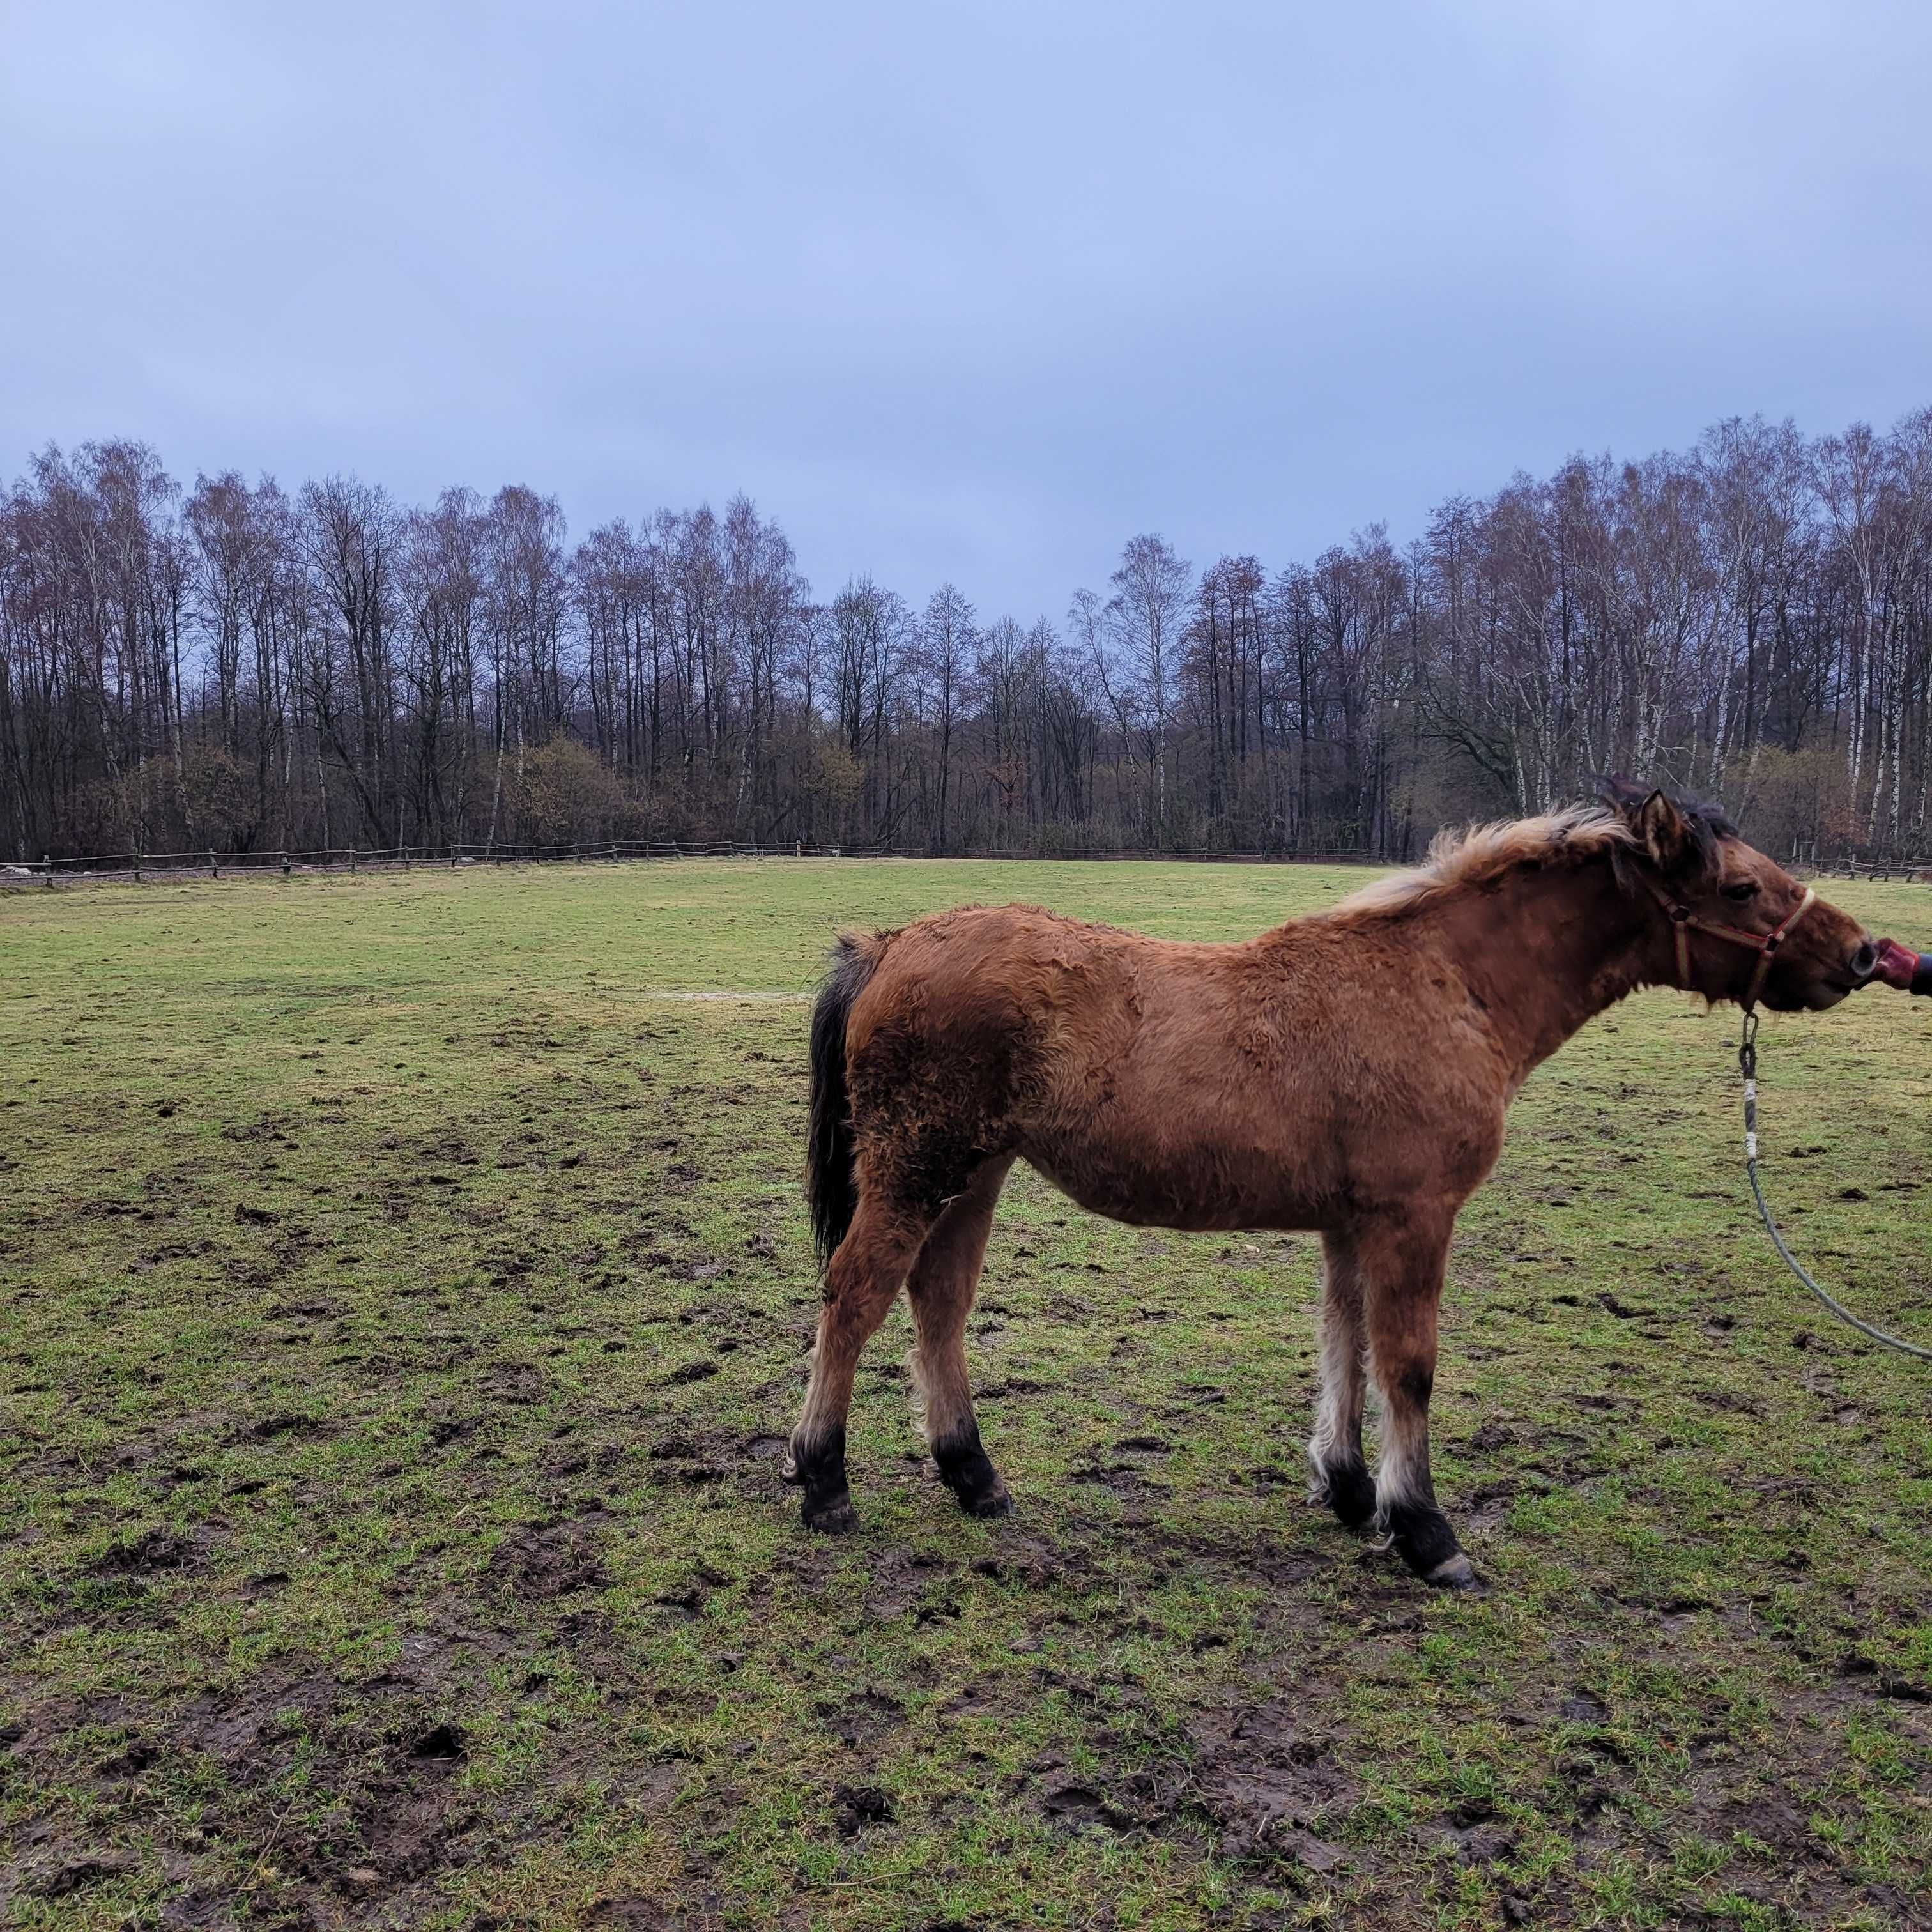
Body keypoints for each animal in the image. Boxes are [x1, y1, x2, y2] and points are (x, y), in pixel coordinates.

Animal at [780, 784, 1870, 1584]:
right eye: (1741, 888)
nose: (1862, 953)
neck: (1445, 984)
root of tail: (887, 945)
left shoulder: (1353, 1224)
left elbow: (1345, 1341)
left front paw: (1348, 1491)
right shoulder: (1414, 1218)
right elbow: (1409, 1365)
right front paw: (1426, 1531)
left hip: (974, 1174)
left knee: (937, 1303)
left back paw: (974, 1477)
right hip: (918, 1168)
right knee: (856, 1294)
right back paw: (824, 1479)